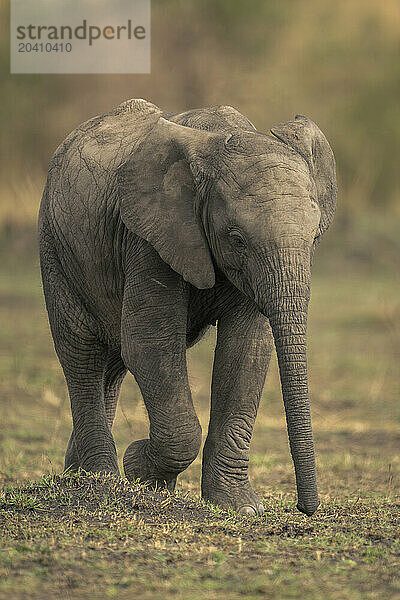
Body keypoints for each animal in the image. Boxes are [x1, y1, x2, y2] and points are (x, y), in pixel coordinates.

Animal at [39, 97, 336, 516]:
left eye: (313, 239)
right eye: (237, 239)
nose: (306, 508)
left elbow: (246, 349)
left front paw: (240, 508)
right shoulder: (147, 236)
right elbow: (150, 343)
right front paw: (141, 471)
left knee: (111, 365)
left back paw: (74, 478)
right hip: (55, 246)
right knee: (82, 352)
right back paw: (102, 483)